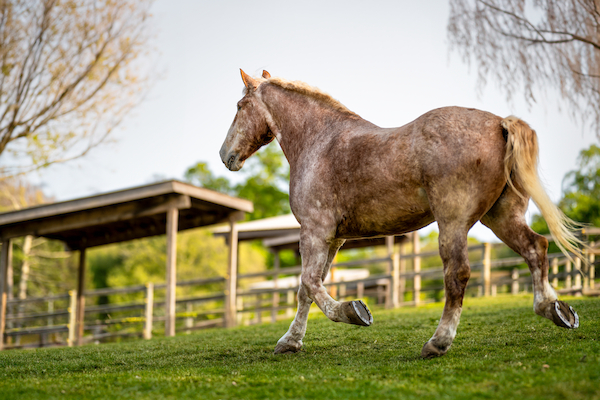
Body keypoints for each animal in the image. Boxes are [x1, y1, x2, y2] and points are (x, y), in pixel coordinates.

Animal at [220, 69, 580, 360]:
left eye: (238, 107)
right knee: (536, 248)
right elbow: (307, 288)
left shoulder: (314, 231)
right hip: (501, 217)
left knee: (458, 274)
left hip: (454, 222)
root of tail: (500, 123)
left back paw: (437, 343)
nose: (225, 155)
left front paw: (353, 312)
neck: (319, 143)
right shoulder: (333, 239)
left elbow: (309, 283)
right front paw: (290, 342)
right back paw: (556, 311)